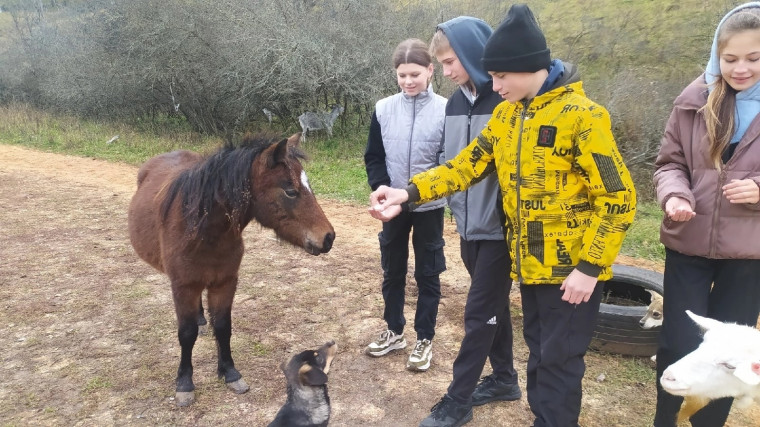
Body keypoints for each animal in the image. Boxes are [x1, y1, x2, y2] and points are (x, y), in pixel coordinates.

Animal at [127, 132, 336, 406]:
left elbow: (224, 327)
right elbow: (186, 334)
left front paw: (230, 373)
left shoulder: (225, 282)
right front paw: (184, 383)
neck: (202, 230)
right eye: (291, 191)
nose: (328, 237)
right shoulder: (183, 286)